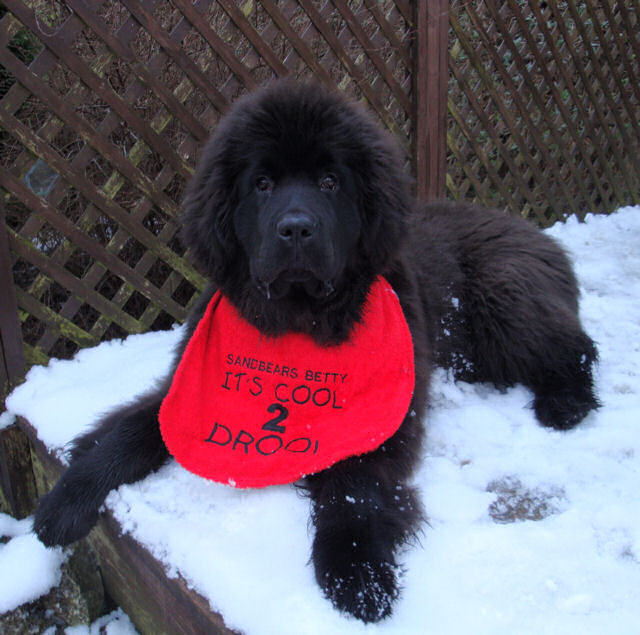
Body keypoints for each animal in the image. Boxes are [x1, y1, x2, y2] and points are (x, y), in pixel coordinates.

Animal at [33, 82, 596, 624]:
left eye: (329, 181)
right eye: (262, 184)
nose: (297, 228)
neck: (299, 320)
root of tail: (531, 230)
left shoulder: (384, 427)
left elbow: (353, 489)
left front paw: (358, 575)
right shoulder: (186, 385)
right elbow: (130, 431)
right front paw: (65, 502)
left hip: (503, 295)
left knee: (574, 347)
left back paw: (564, 405)